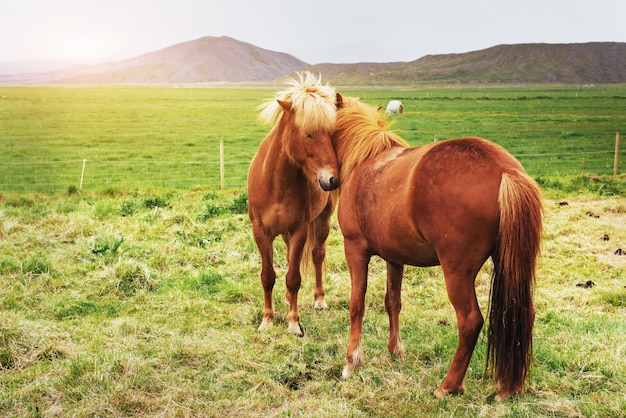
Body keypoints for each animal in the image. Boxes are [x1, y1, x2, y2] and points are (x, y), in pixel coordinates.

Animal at [246, 72, 338, 336]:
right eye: (308, 133)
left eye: (332, 133)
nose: (332, 179)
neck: (276, 184)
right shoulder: (261, 232)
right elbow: (268, 276)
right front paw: (267, 320)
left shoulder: (299, 231)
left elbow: (294, 277)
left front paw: (294, 323)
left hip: (322, 221)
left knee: (317, 254)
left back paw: (319, 299)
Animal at [332, 96, 540, 400]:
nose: (328, 181)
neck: (367, 161)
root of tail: (506, 171)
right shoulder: (395, 258)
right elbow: (392, 301)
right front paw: (395, 352)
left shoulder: (355, 249)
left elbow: (356, 304)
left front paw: (351, 362)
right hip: (511, 267)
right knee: (519, 315)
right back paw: (510, 388)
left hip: (457, 272)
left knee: (470, 321)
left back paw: (448, 385)